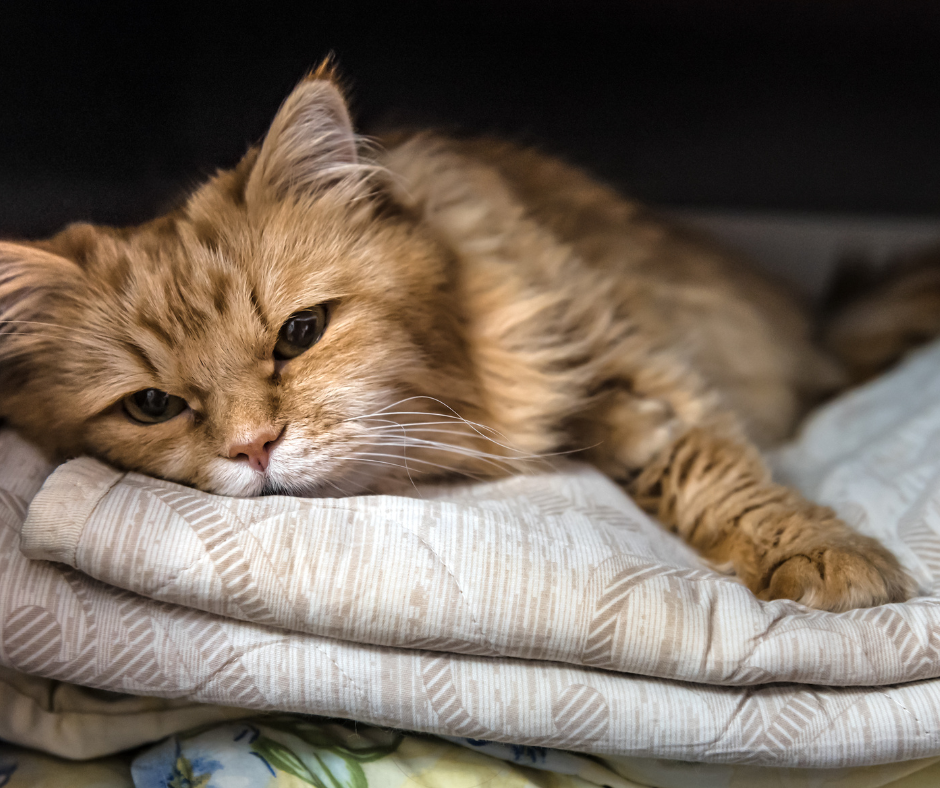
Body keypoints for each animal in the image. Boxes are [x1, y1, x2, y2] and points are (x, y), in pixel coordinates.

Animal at [0, 64, 912, 612]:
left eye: (301, 333)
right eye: (153, 407)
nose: (254, 448)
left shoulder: (615, 344)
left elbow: (715, 473)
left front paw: (826, 555)